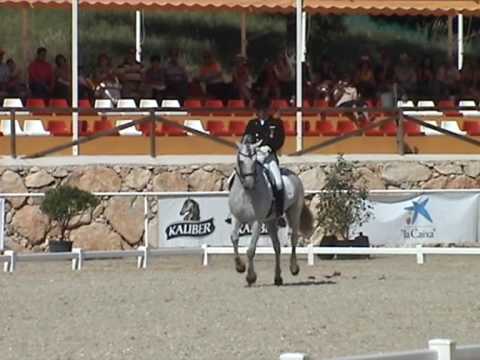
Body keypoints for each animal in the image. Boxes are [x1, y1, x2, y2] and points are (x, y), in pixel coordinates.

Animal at [229, 139, 316, 286]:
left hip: (293, 213)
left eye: (254, 162)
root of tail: (293, 174)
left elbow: (251, 250)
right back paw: (278, 278)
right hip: (270, 221)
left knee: (293, 238)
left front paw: (251, 277)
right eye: (241, 161)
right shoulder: (237, 218)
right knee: (277, 246)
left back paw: (294, 268)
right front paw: (239, 267)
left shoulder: (257, 222)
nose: (249, 184)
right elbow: (234, 238)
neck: (246, 193)